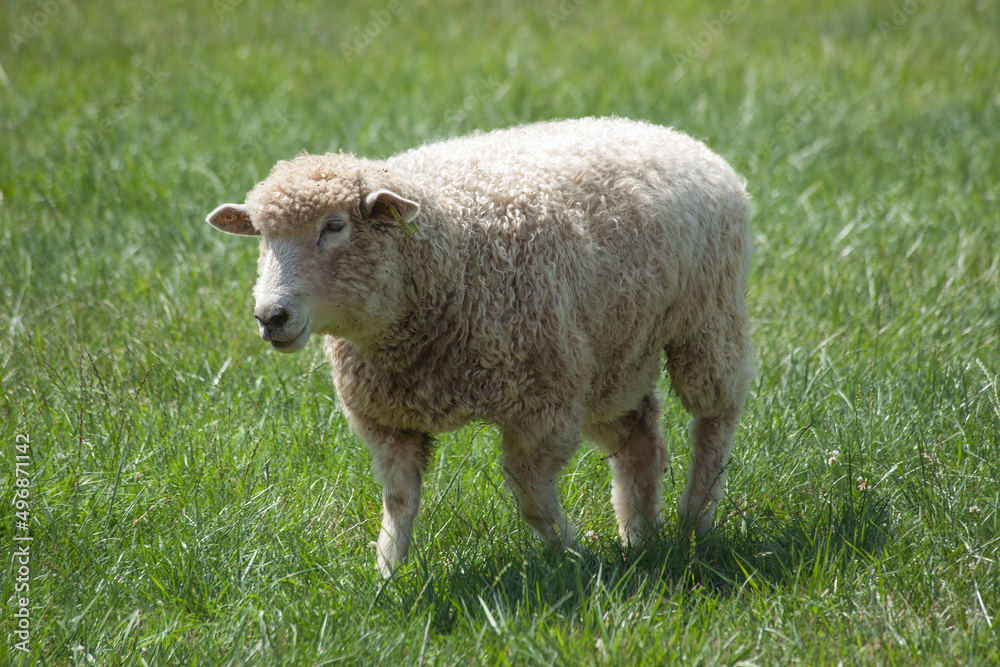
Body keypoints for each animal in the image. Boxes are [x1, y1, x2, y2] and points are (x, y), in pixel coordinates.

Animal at [206, 116, 753, 577]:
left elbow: (531, 497)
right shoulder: (387, 418)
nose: (271, 317)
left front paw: (574, 557)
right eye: (261, 236)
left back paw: (694, 522)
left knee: (715, 421)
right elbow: (399, 500)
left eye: (334, 226)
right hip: (612, 357)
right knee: (640, 440)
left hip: (708, 323)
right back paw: (640, 536)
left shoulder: (543, 405)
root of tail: (675, 135)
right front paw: (387, 576)